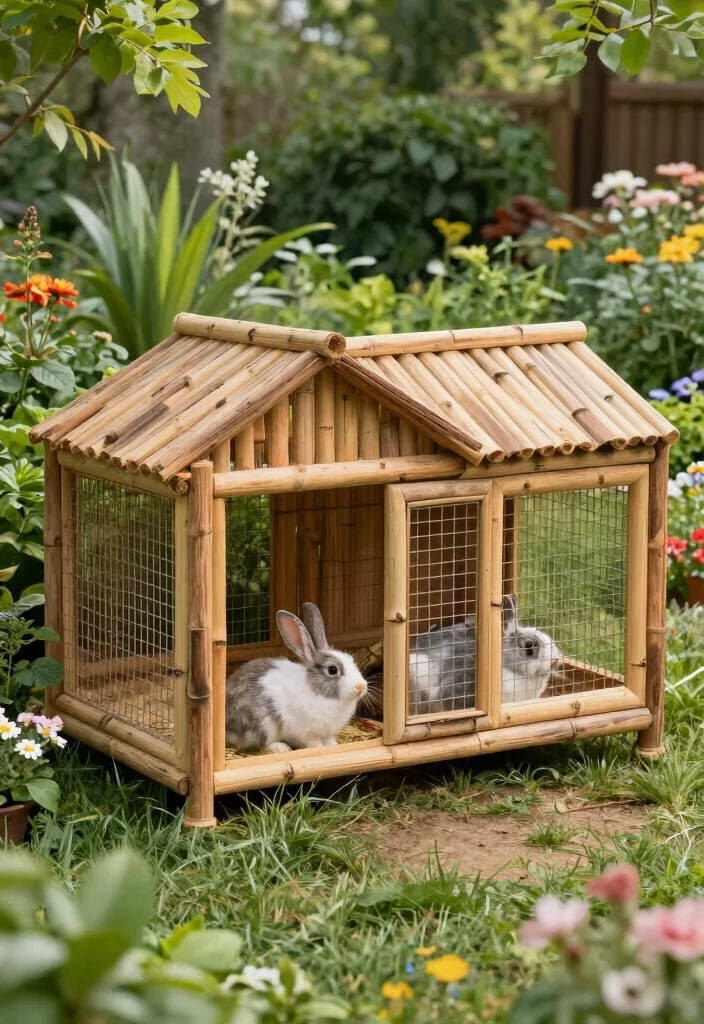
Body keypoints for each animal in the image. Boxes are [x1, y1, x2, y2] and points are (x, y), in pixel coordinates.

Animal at [225, 602, 368, 753]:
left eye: (351, 660)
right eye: (332, 670)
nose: (361, 686)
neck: (319, 693)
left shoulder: (328, 732)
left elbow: (329, 741)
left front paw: (333, 746)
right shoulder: (307, 732)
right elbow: (314, 743)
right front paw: (319, 748)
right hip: (263, 725)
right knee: (259, 746)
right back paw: (281, 748)